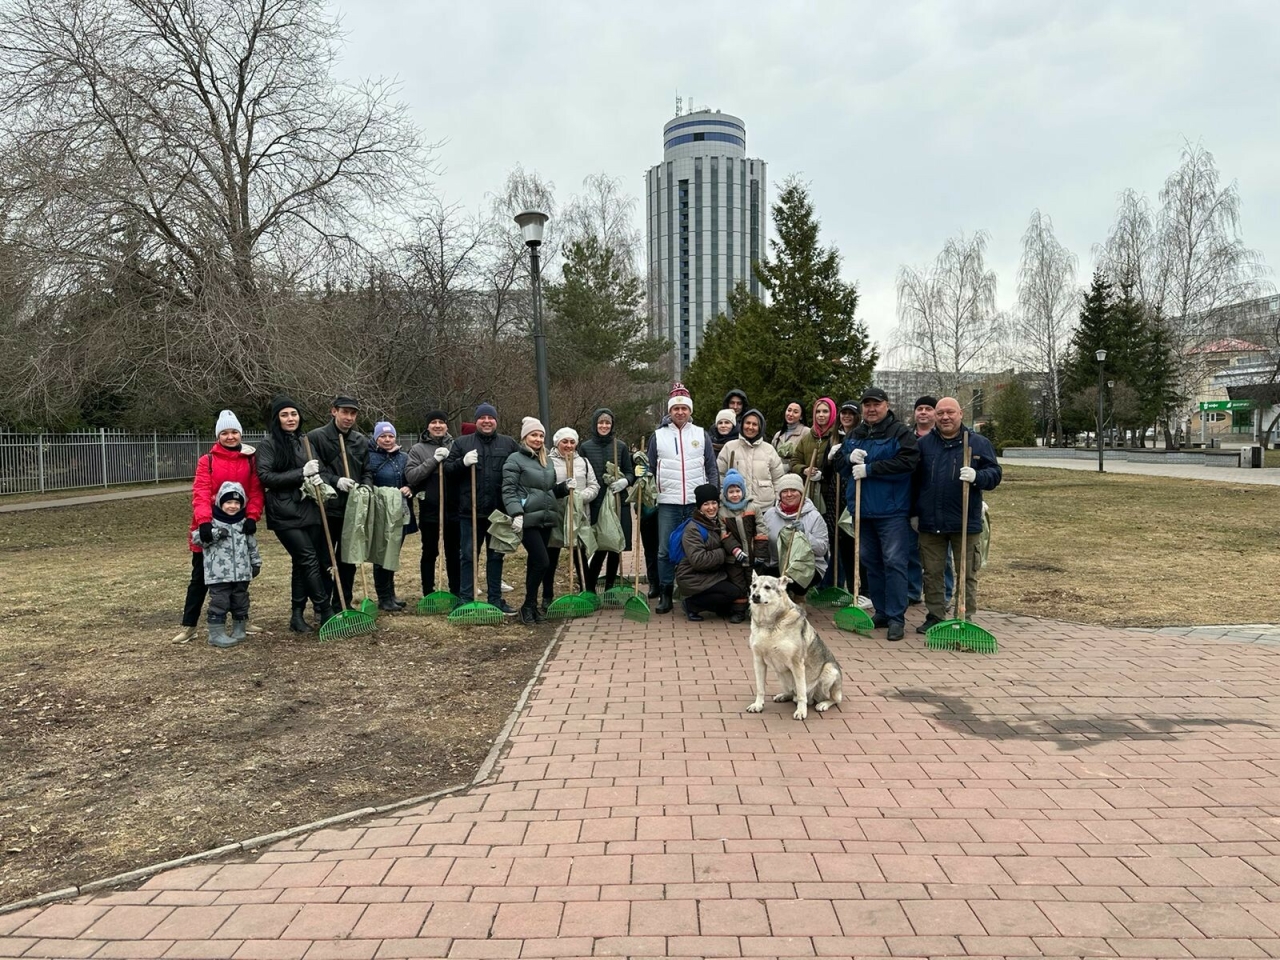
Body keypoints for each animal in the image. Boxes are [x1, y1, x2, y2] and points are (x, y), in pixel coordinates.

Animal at [747, 570, 844, 721]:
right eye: (754, 586)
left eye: (767, 587)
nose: (754, 596)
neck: (770, 624)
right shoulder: (758, 661)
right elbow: (760, 688)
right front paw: (758, 705)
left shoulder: (797, 664)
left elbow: (801, 694)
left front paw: (801, 712)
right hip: (781, 674)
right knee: (792, 693)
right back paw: (783, 696)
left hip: (829, 671)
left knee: (834, 699)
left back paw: (823, 704)